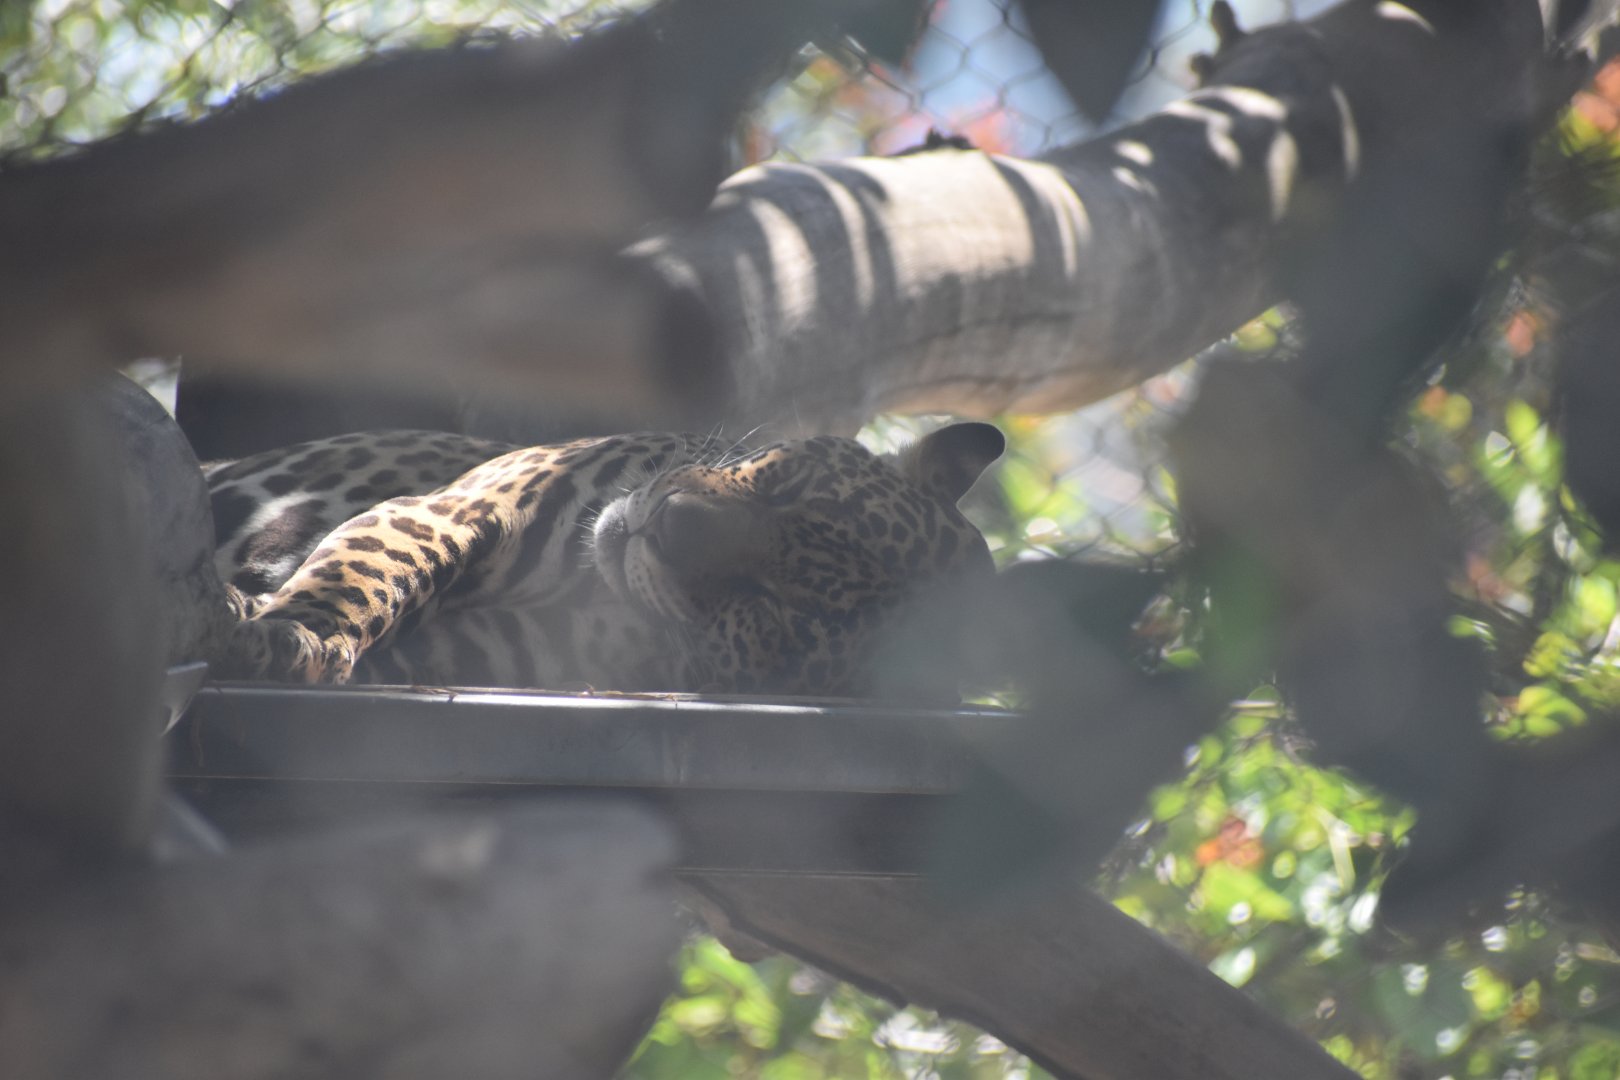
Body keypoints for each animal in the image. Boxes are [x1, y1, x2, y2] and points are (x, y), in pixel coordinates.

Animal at [203, 422, 1005, 697]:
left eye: (778, 608)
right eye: (787, 486)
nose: (669, 523)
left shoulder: (499, 651)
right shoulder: (458, 507)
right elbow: (372, 572)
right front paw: (295, 634)